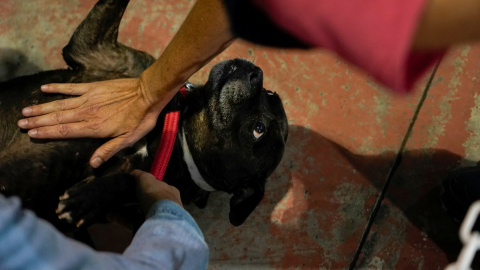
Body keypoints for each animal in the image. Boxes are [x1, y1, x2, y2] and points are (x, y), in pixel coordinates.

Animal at [0, 0, 284, 229]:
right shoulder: (98, 49)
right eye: (270, 93)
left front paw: (87, 199)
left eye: (259, 129)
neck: (174, 131)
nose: (256, 72)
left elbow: (127, 181)